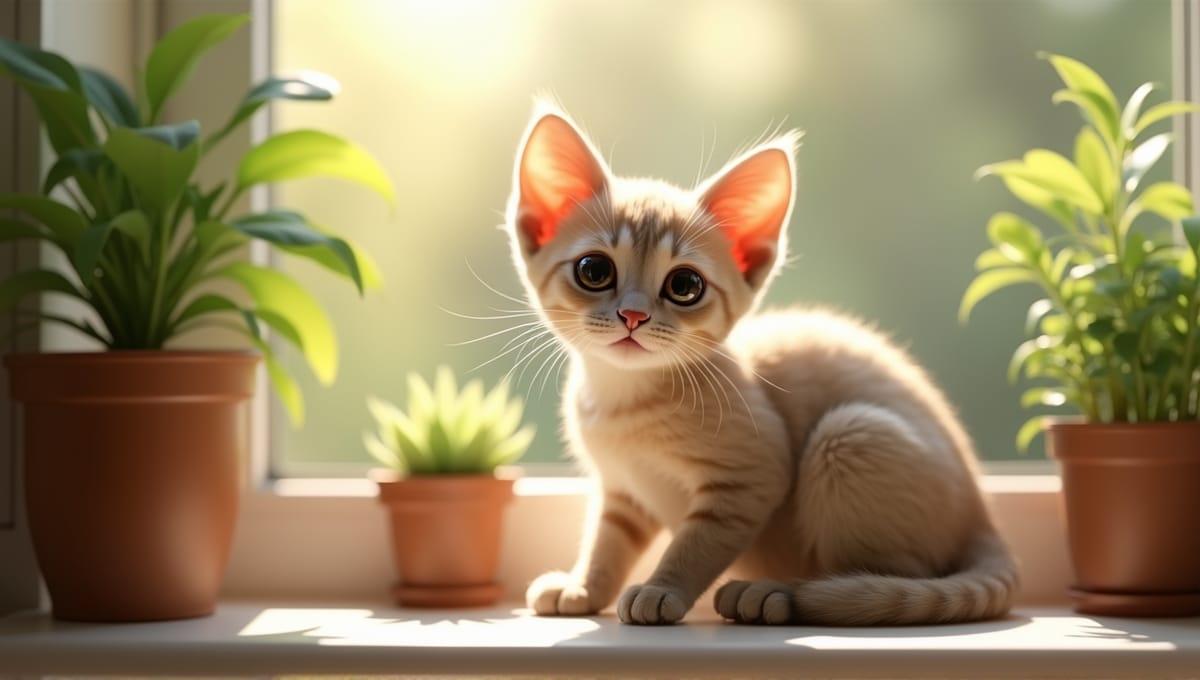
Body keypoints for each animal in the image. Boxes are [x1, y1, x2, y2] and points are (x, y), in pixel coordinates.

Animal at [501, 103, 1017, 623]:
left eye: (684, 286)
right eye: (594, 271)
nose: (633, 315)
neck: (623, 397)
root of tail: (983, 514)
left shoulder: (752, 475)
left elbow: (696, 543)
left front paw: (662, 589)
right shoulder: (622, 492)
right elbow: (607, 541)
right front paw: (584, 587)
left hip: (850, 433)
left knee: (888, 577)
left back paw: (774, 592)